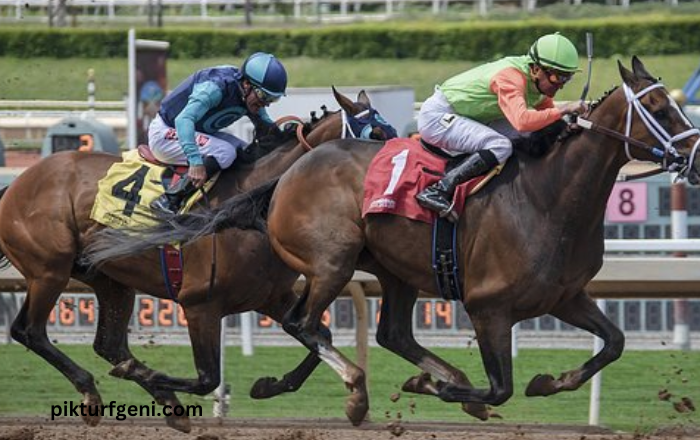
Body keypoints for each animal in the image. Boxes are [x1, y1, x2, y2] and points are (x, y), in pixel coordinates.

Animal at [0, 87, 396, 432]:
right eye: (376, 131)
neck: (249, 207)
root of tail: (17, 183)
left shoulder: (271, 296)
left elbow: (316, 332)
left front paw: (272, 386)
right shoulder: (199, 304)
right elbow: (209, 378)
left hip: (110, 280)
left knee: (109, 344)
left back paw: (159, 397)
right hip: (49, 270)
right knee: (29, 331)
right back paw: (93, 392)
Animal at [137, 56, 700, 424]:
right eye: (660, 109)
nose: (693, 158)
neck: (547, 198)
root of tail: (288, 173)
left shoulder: (565, 296)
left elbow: (614, 343)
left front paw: (546, 382)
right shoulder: (488, 306)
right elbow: (500, 388)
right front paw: (439, 386)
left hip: (394, 271)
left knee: (384, 334)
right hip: (333, 261)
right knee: (305, 322)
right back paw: (352, 390)